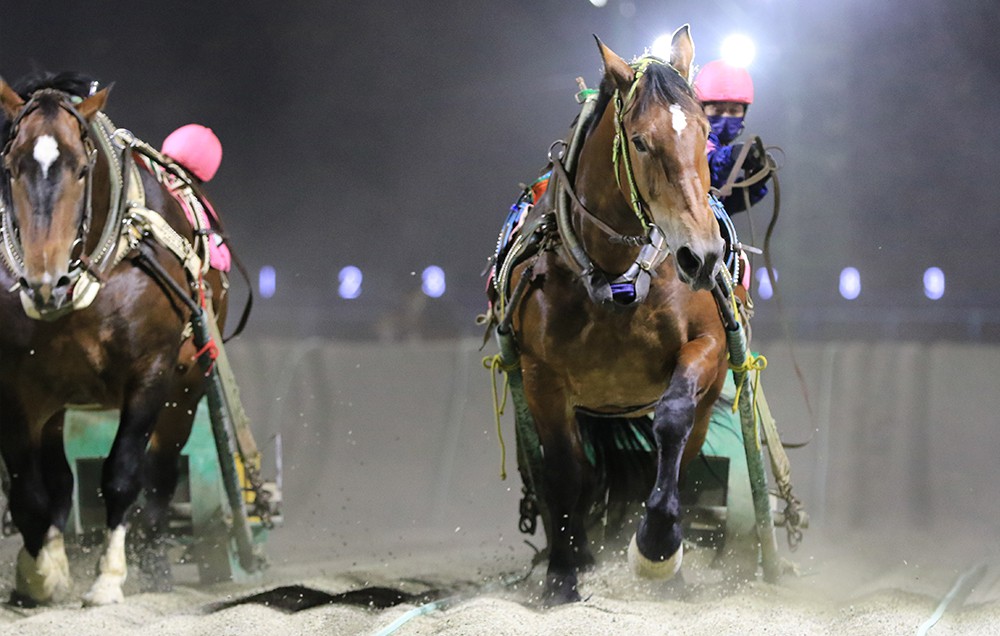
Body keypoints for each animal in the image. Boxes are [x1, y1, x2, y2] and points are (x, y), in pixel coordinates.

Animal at [0, 72, 229, 604]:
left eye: (82, 170)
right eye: (11, 167)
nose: (45, 281)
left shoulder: (151, 370)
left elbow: (124, 472)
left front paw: (109, 577)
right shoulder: (15, 382)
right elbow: (29, 488)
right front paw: (42, 573)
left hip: (187, 387)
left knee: (161, 475)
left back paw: (154, 567)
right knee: (59, 479)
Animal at [508, 27, 728, 604]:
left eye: (705, 134)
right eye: (641, 142)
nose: (702, 256)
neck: (616, 277)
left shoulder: (707, 346)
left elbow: (672, 420)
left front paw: (657, 544)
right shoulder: (541, 375)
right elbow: (564, 470)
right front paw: (562, 574)